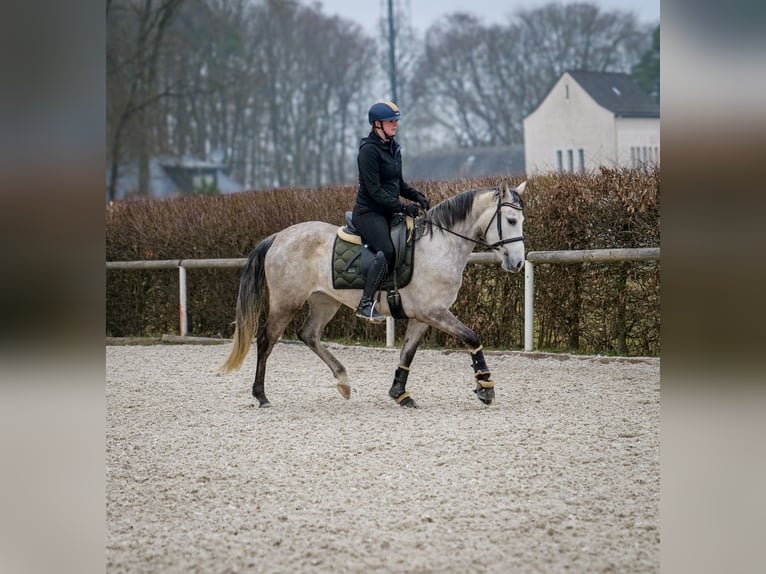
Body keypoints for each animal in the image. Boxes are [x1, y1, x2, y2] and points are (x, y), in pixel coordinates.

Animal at [219, 181, 524, 410]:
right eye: (510, 220)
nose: (518, 263)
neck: (440, 246)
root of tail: (279, 237)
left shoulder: (422, 317)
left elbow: (407, 353)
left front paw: (400, 393)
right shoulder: (435, 312)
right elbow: (472, 337)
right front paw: (485, 387)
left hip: (324, 301)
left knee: (309, 334)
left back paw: (343, 381)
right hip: (286, 302)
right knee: (266, 340)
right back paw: (261, 395)